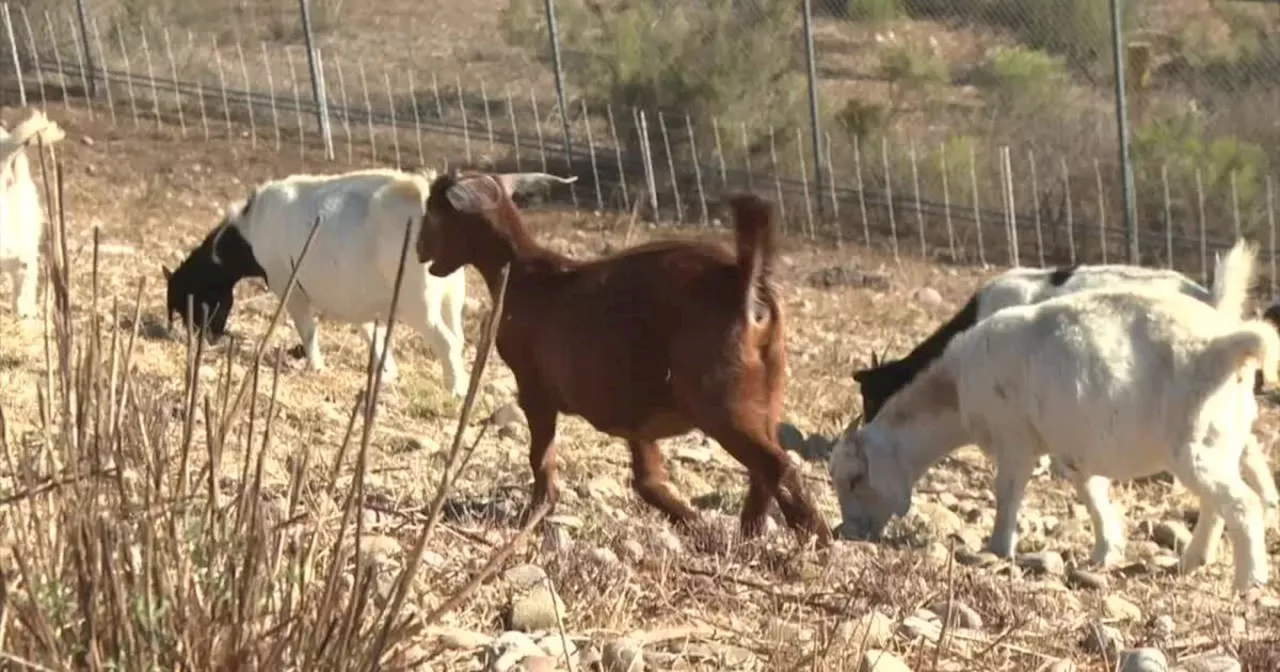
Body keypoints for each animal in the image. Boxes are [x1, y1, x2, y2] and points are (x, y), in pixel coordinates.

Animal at [417, 168, 829, 545]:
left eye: (434, 211)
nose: (420, 249)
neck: (521, 273)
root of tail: (744, 280)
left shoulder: (534, 388)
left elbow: (542, 455)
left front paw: (536, 511)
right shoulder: (633, 407)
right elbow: (648, 478)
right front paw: (696, 524)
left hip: (719, 398)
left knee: (777, 465)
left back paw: (817, 541)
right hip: (767, 390)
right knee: (764, 467)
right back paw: (749, 535)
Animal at [829, 239, 1280, 591]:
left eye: (855, 479)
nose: (847, 533)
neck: (953, 386)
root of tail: (1227, 344)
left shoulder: (1013, 438)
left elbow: (1008, 493)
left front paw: (997, 549)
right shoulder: (1073, 447)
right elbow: (1093, 493)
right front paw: (1105, 551)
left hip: (1195, 446)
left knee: (1241, 504)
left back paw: (1248, 582)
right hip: (1220, 439)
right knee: (1217, 501)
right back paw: (1192, 561)